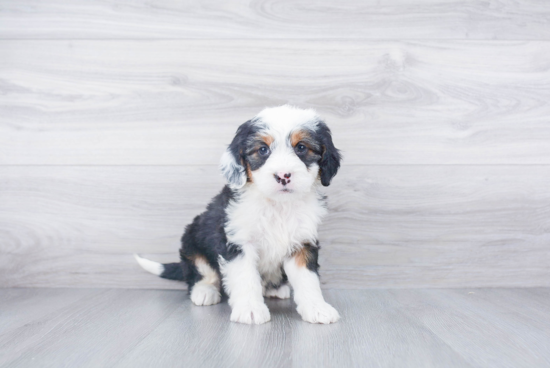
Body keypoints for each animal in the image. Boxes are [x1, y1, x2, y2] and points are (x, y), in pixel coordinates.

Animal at [136, 105, 342, 324]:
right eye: (263, 150)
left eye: (301, 147)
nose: (283, 176)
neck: (277, 205)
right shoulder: (238, 242)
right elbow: (246, 277)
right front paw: (250, 310)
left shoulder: (302, 242)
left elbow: (307, 279)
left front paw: (317, 308)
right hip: (193, 240)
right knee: (201, 273)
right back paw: (205, 291)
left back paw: (276, 288)